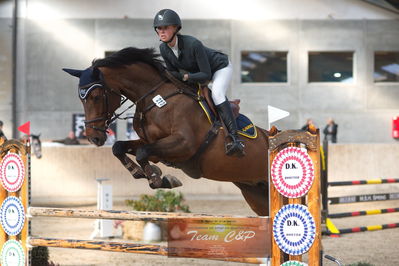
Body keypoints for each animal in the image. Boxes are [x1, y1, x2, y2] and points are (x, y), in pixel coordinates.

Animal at [65, 47, 272, 216]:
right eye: (81, 98)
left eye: (96, 96)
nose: (93, 137)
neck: (155, 98)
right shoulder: (151, 143)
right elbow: (120, 148)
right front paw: (144, 173)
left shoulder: (184, 144)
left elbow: (142, 153)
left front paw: (159, 179)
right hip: (256, 194)